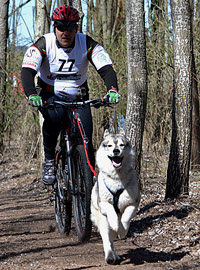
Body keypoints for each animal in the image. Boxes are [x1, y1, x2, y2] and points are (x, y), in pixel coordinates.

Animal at [90, 130, 141, 264]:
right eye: (110, 145)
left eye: (122, 145)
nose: (116, 151)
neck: (117, 178)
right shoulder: (103, 203)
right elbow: (111, 211)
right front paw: (115, 222)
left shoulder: (133, 203)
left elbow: (126, 218)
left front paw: (122, 231)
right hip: (102, 221)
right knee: (107, 240)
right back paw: (109, 256)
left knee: (112, 240)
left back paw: (115, 255)